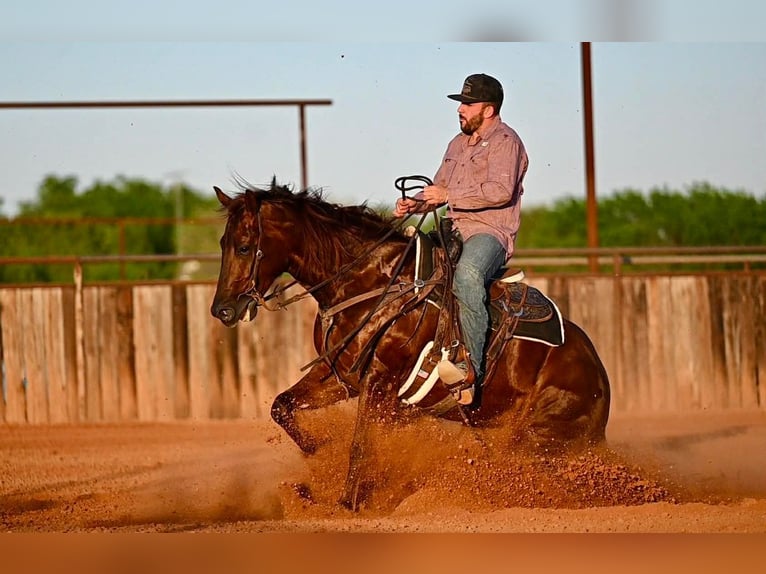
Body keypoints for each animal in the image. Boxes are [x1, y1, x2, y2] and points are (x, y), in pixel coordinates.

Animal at [210, 180, 610, 511]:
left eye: (244, 247)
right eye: (223, 243)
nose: (222, 309)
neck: (368, 283)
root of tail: (599, 376)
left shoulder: (381, 379)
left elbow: (360, 444)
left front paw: (346, 502)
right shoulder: (339, 375)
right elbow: (282, 407)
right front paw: (320, 454)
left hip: (541, 436)